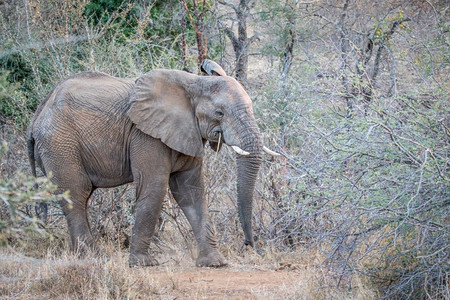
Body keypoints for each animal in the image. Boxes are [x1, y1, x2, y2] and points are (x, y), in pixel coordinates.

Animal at [27, 61, 278, 268]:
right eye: (220, 112)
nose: (249, 244)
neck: (194, 83)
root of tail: (36, 117)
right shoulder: (145, 135)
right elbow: (155, 188)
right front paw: (143, 264)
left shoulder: (188, 132)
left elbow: (192, 192)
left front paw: (215, 263)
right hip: (59, 144)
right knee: (76, 194)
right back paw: (92, 256)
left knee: (81, 196)